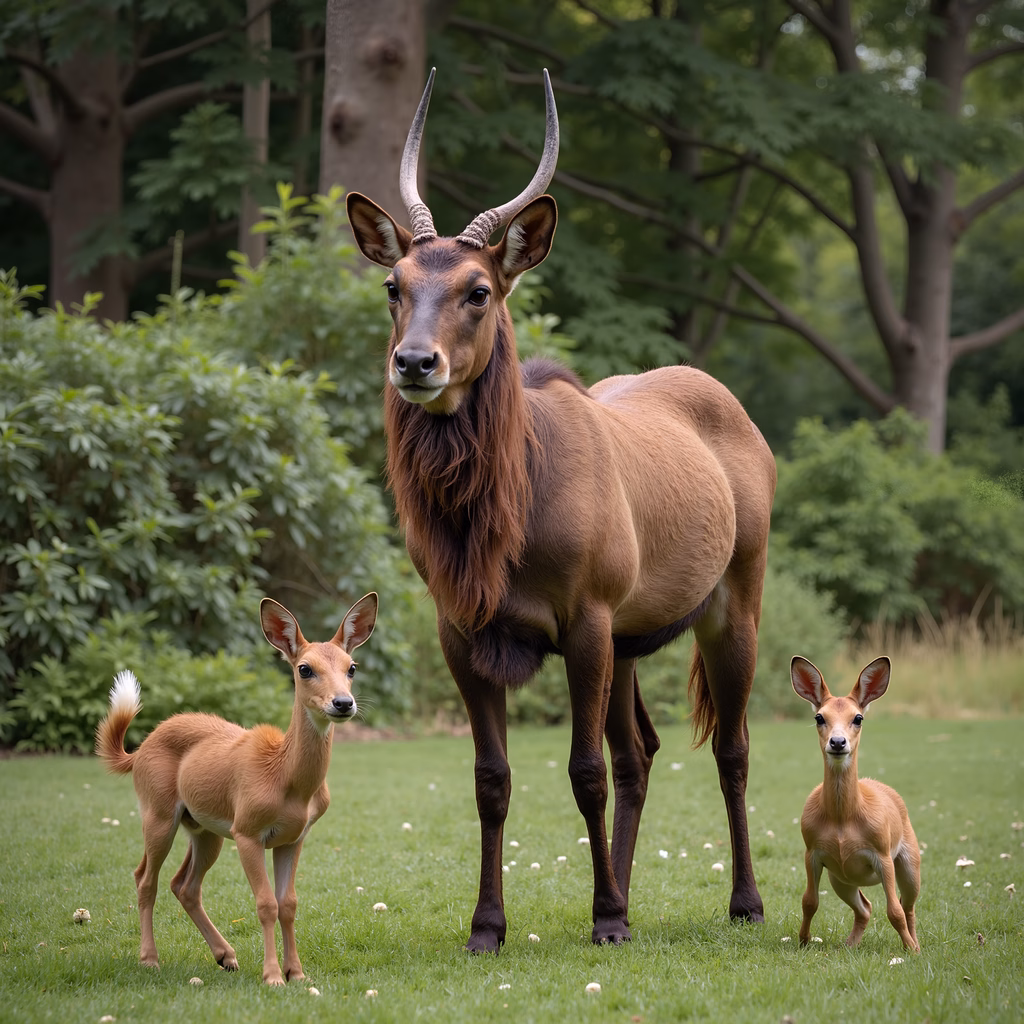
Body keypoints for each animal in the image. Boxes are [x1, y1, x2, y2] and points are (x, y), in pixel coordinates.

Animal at [95, 594, 378, 984]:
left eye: (352, 668)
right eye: (305, 669)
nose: (343, 703)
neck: (285, 778)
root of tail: (137, 752)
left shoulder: (294, 837)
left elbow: (288, 903)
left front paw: (297, 973)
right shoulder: (247, 830)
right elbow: (266, 903)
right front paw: (273, 976)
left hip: (204, 830)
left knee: (184, 885)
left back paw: (225, 956)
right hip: (157, 812)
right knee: (145, 879)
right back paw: (149, 959)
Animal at [346, 69, 776, 952]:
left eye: (478, 289)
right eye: (395, 285)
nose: (415, 362)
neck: (498, 527)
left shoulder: (586, 618)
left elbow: (582, 772)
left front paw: (604, 916)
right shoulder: (463, 630)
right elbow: (492, 778)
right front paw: (489, 925)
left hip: (733, 601)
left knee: (731, 746)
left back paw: (740, 902)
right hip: (635, 637)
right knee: (642, 749)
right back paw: (629, 893)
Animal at [791, 655, 921, 951]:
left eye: (858, 718)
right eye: (819, 717)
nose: (838, 742)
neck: (843, 820)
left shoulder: (882, 855)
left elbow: (894, 911)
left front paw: (910, 949)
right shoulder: (812, 852)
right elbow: (809, 901)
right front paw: (803, 940)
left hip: (910, 862)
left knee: (907, 906)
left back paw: (916, 944)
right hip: (841, 878)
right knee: (865, 907)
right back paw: (850, 945)